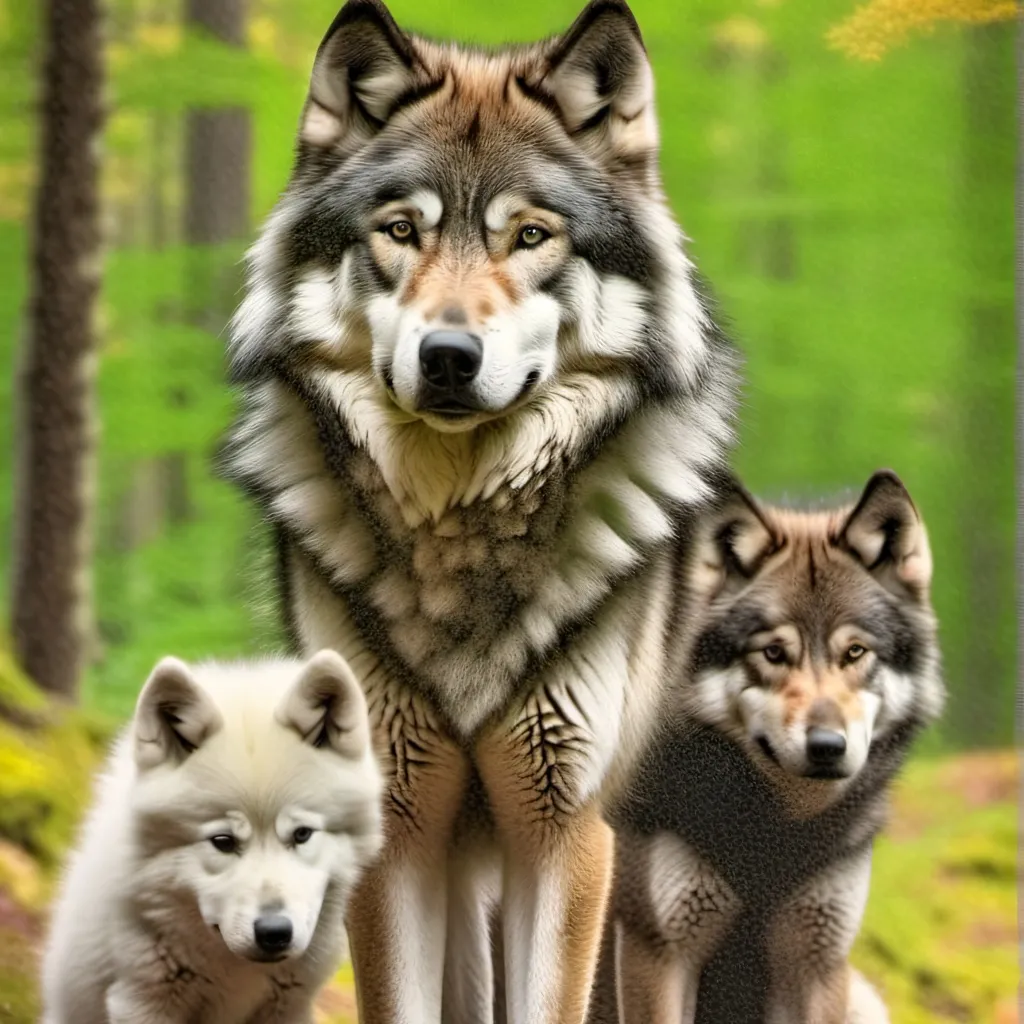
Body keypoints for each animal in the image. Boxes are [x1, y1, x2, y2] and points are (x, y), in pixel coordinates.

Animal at [41, 650, 383, 1024]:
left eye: (302, 834)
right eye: (223, 841)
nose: (274, 932)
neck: (234, 971)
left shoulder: (289, 1008)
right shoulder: (140, 1002)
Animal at [222, 0, 739, 1019]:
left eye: (530, 238)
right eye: (401, 230)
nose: (450, 356)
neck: (460, 533)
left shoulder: (564, 830)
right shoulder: (398, 827)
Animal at [589, 470, 944, 1024]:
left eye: (855, 652)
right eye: (773, 652)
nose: (827, 745)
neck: (776, 833)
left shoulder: (819, 962)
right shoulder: (658, 952)